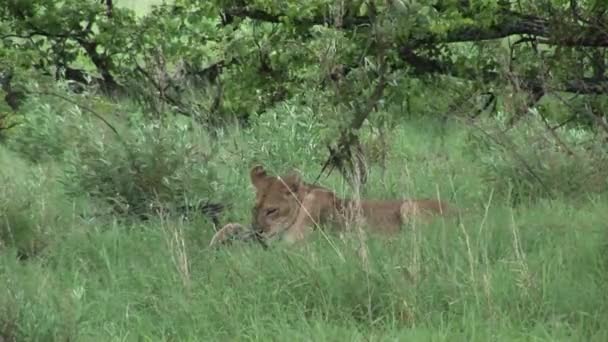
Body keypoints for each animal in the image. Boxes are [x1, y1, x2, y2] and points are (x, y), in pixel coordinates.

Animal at [209, 164, 452, 247]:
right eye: (255, 209)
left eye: (272, 210)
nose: (259, 231)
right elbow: (232, 226)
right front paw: (215, 242)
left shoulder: (298, 244)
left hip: (408, 206)